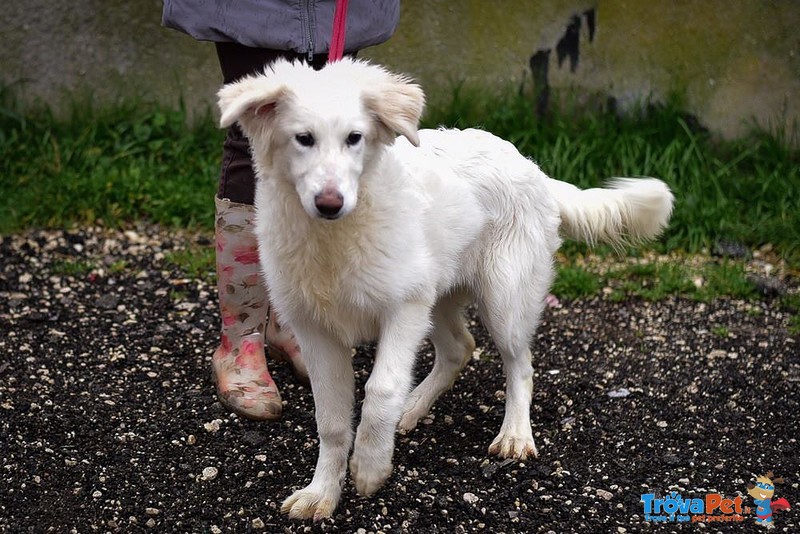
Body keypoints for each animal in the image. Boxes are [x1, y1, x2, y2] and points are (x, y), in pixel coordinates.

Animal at [216, 59, 672, 524]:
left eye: (354, 138)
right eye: (303, 138)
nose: (330, 202)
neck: (335, 238)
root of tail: (533, 168)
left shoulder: (402, 309)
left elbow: (381, 388)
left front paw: (370, 466)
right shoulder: (316, 332)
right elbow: (331, 420)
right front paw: (322, 492)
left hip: (502, 301)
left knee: (520, 365)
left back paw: (514, 434)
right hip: (437, 299)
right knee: (459, 348)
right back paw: (414, 407)